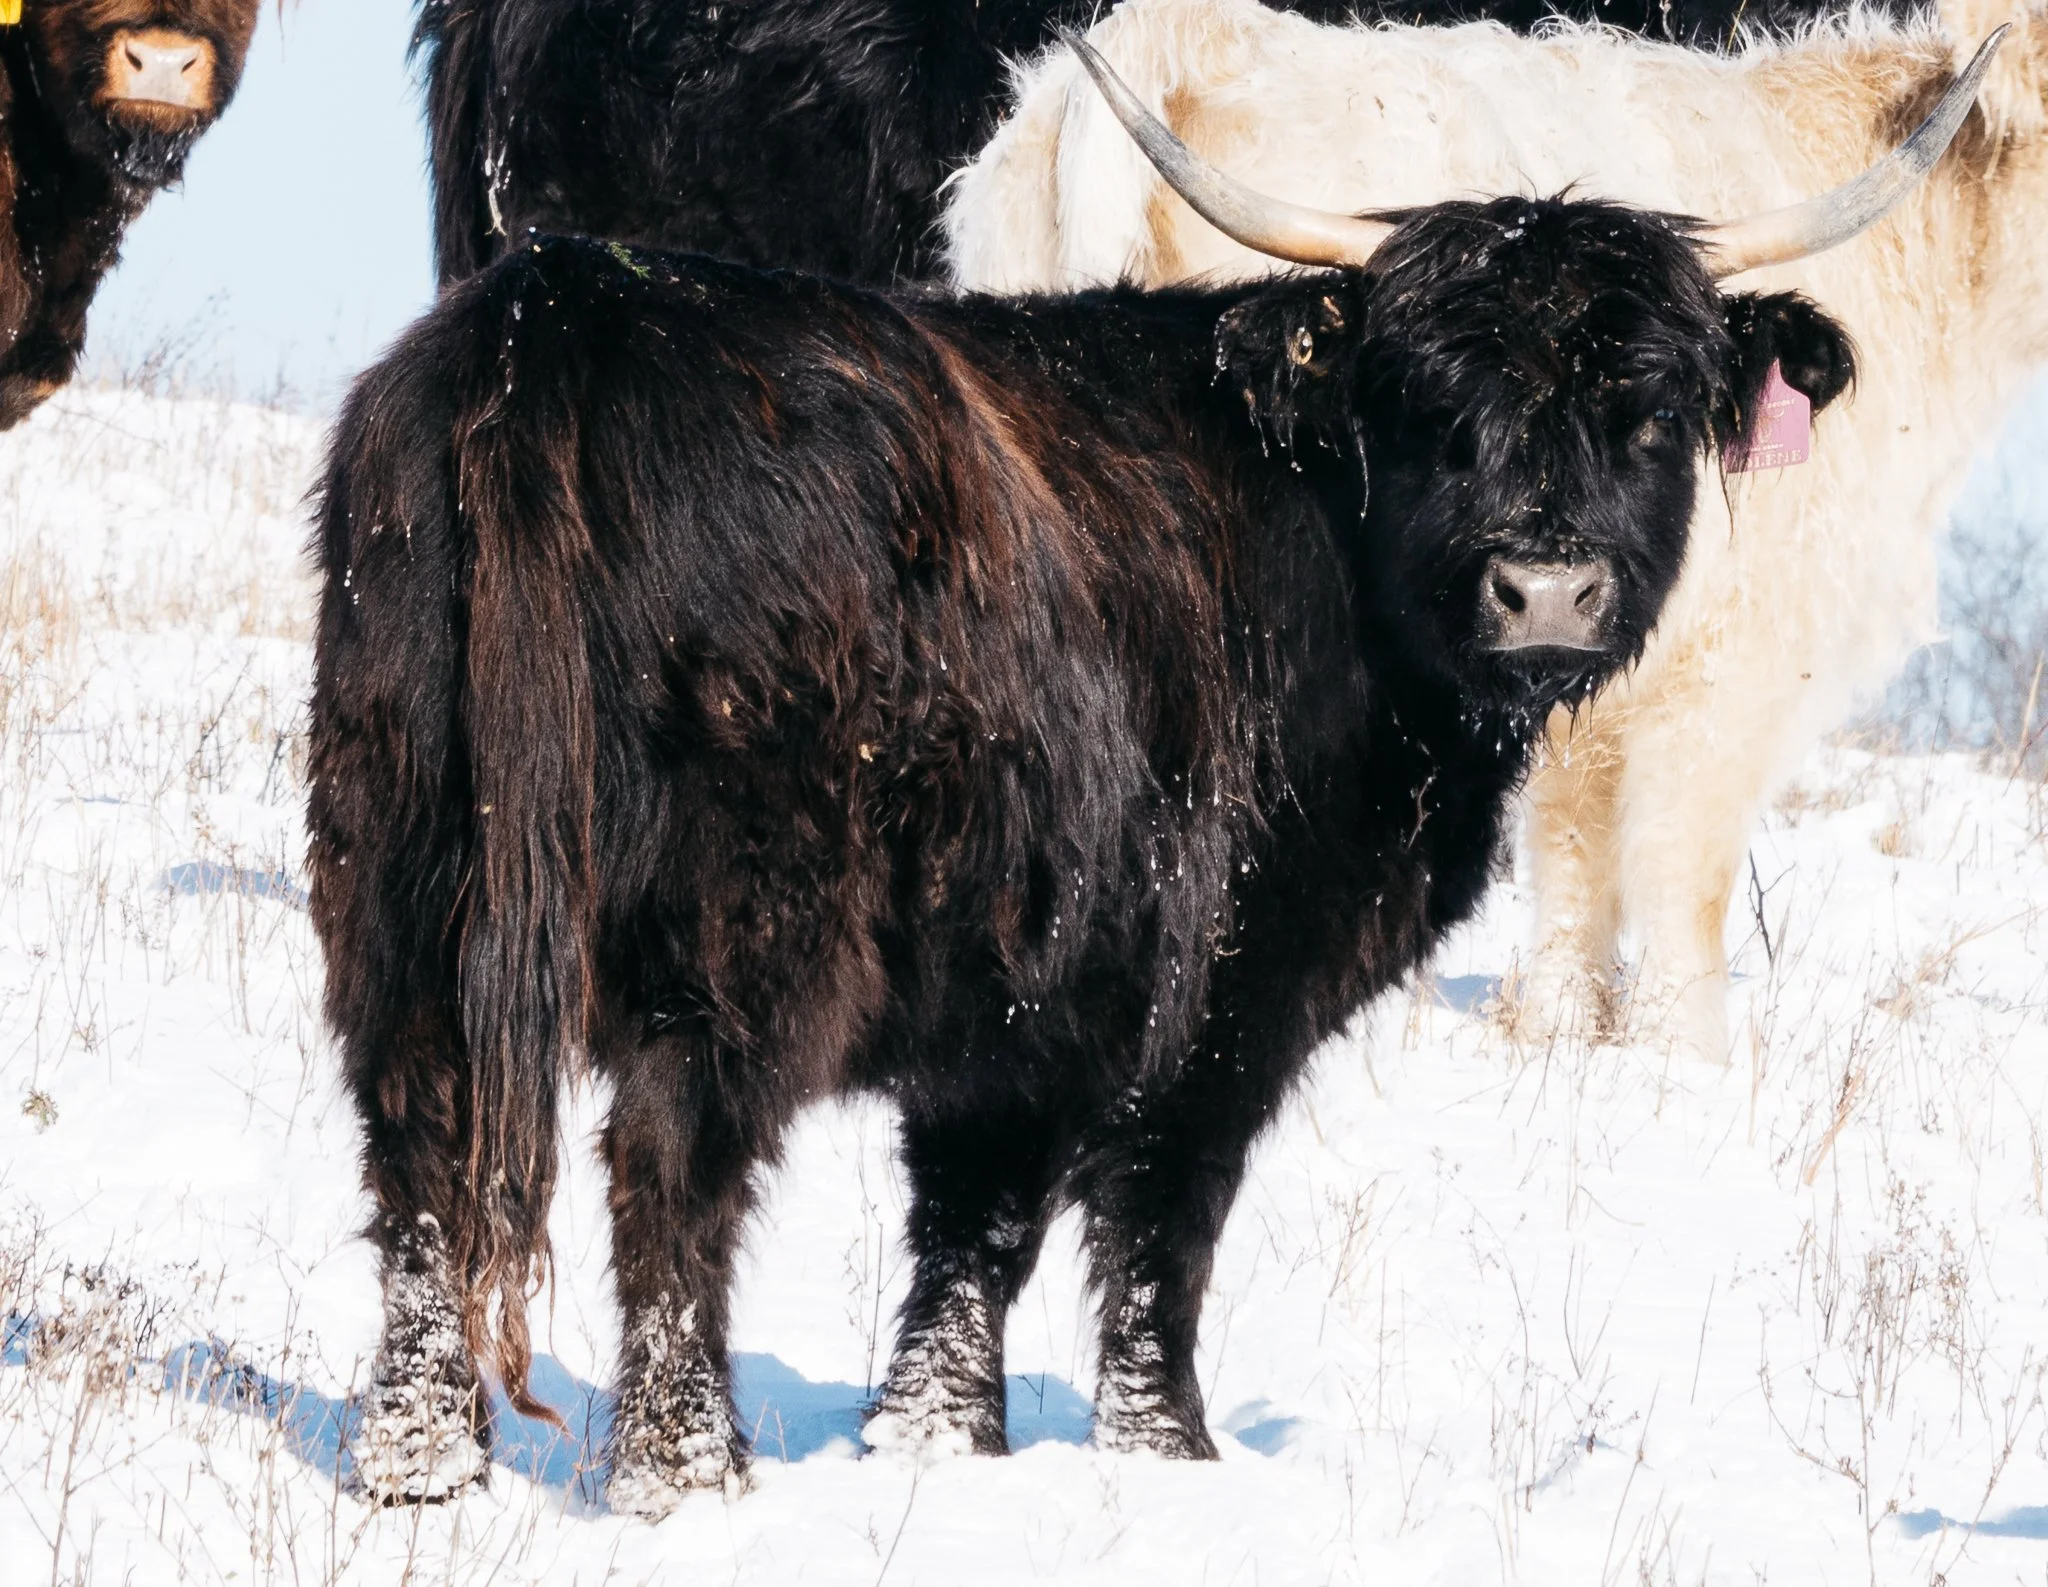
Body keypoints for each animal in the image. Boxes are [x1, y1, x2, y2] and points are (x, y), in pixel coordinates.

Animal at [945, 0, 2044, 1064]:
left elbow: (1573, 834)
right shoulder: (1732, 663)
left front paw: (1563, 1029)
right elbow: (1679, 860)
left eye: (1655, 414)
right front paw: (1687, 1059)